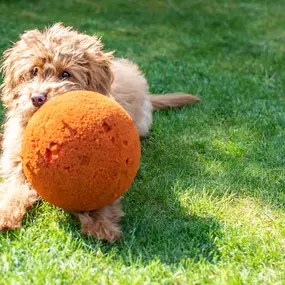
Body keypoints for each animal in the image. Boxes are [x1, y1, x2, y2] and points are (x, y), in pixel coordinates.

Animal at [0, 23, 200, 240]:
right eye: (34, 70)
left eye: (65, 74)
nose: (37, 98)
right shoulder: (16, 164)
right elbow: (13, 191)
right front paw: (5, 215)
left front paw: (101, 223)